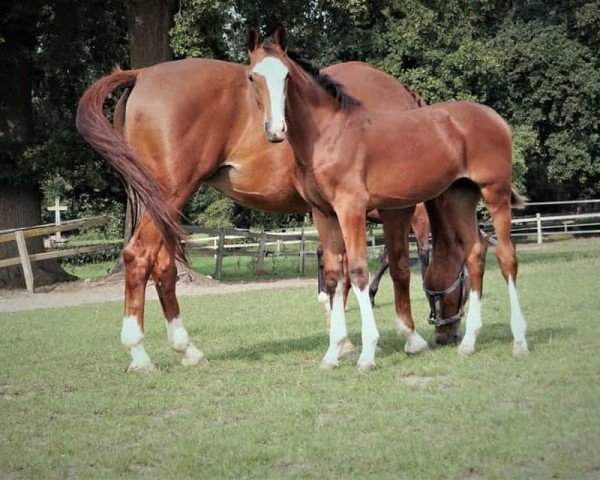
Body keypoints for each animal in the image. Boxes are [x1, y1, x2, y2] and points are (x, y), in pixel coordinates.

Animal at [246, 26, 528, 372]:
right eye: (252, 76)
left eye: (286, 76)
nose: (276, 130)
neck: (328, 134)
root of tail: (495, 117)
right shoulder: (324, 213)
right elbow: (334, 275)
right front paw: (333, 353)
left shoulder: (352, 209)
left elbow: (358, 271)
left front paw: (367, 354)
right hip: (460, 196)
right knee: (475, 253)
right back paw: (469, 343)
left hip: (495, 193)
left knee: (506, 256)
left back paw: (519, 342)